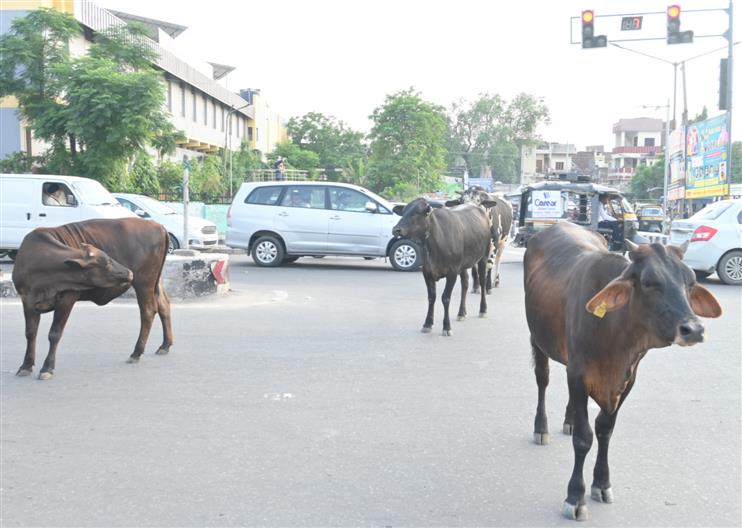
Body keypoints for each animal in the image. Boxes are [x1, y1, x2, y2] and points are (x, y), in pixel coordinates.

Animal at [11, 219, 174, 380]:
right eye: (107, 262)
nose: (129, 272)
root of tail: (158, 226)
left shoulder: (68, 298)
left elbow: (54, 334)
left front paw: (47, 367)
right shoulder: (27, 300)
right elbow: (30, 333)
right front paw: (26, 365)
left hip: (144, 283)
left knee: (148, 311)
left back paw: (136, 353)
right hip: (155, 282)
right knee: (164, 305)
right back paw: (165, 345)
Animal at [396, 198, 494, 334]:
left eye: (416, 213)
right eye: (403, 212)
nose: (396, 229)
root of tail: (476, 204)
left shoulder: (452, 272)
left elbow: (446, 298)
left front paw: (446, 327)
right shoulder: (427, 272)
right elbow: (431, 297)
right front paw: (427, 323)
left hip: (483, 257)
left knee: (482, 281)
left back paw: (483, 309)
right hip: (463, 265)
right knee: (465, 283)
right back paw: (461, 313)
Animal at [528, 222, 724, 520]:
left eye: (690, 283)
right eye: (649, 282)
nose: (693, 329)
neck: (615, 331)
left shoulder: (627, 379)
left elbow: (605, 430)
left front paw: (601, 483)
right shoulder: (578, 373)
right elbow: (585, 438)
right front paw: (575, 497)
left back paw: (569, 420)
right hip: (537, 339)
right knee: (543, 380)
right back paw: (541, 427)